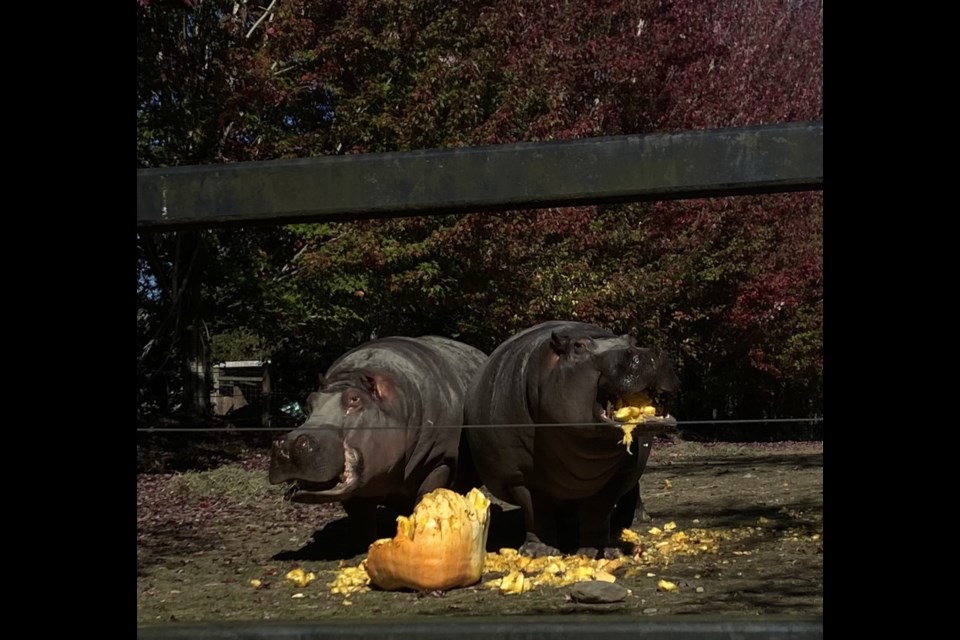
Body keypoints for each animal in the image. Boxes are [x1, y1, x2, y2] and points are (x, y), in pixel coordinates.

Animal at [266, 336, 484, 544]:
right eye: (309, 402)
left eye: (354, 399)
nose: (287, 445)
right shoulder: (360, 484)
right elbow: (359, 515)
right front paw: (359, 544)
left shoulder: (437, 462)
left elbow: (426, 498)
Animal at [464, 322, 676, 556]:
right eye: (579, 346)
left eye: (632, 340)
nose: (648, 353)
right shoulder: (518, 478)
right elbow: (537, 512)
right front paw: (537, 552)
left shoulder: (617, 476)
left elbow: (597, 512)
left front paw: (598, 552)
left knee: (632, 491)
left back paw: (637, 519)